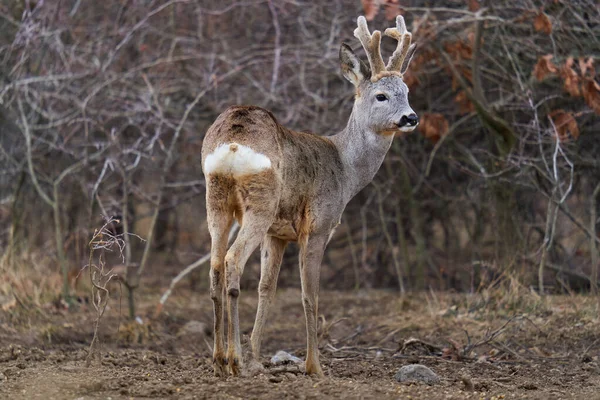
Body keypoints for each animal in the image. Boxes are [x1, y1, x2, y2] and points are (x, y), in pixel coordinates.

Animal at [202, 14, 418, 378]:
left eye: (406, 92)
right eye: (381, 96)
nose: (411, 117)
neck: (346, 169)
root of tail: (233, 141)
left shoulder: (277, 234)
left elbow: (267, 289)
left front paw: (257, 358)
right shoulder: (318, 225)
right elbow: (309, 295)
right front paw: (314, 366)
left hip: (216, 200)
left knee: (216, 263)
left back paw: (219, 360)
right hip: (260, 201)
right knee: (232, 260)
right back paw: (233, 361)